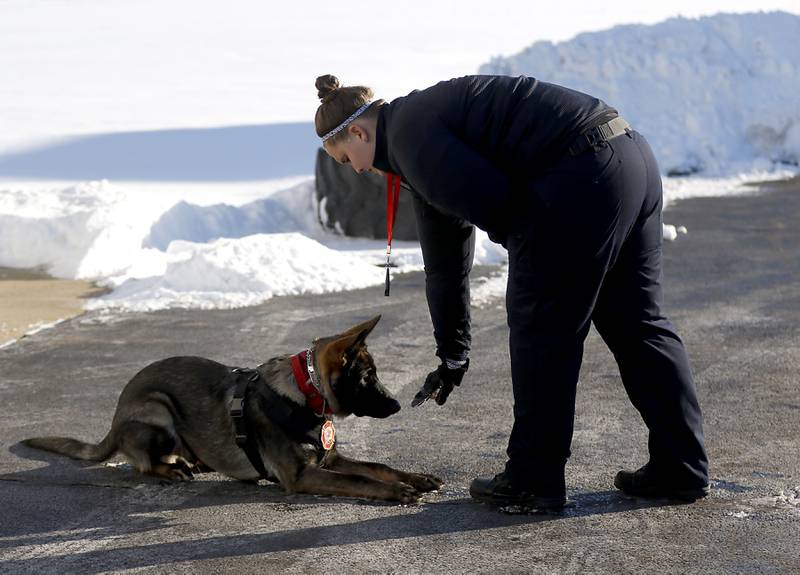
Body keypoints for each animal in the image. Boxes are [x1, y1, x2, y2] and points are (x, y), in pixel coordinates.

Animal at [21, 316, 444, 504]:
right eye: (368, 377)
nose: (399, 403)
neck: (303, 392)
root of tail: (114, 417)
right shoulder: (302, 474)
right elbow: (360, 480)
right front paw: (399, 491)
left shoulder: (330, 458)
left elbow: (379, 467)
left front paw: (416, 478)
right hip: (158, 409)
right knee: (142, 463)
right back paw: (173, 470)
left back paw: (195, 462)